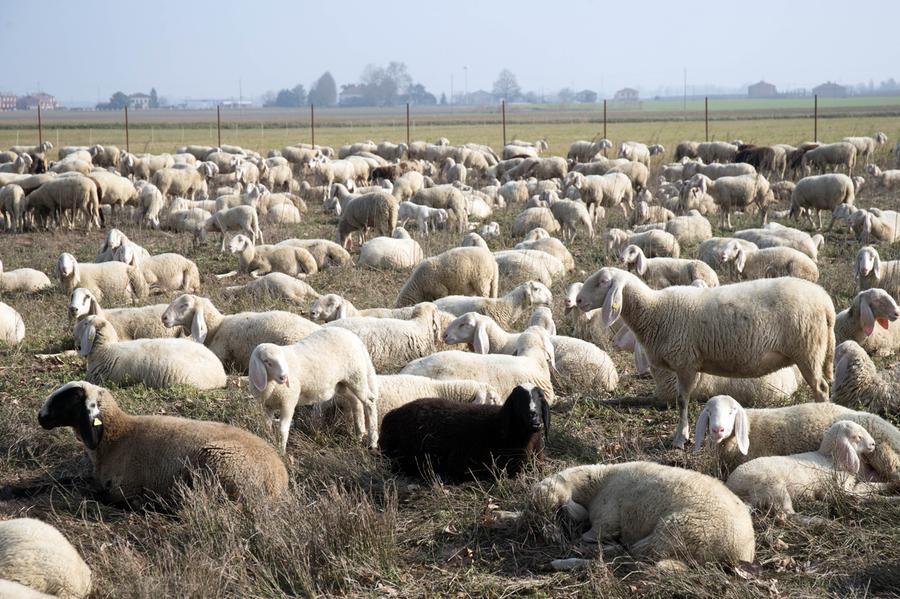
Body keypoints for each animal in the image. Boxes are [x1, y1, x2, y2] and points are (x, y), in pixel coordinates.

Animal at [38, 381, 287, 502]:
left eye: (70, 398)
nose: (40, 417)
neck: (117, 437)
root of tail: (279, 480)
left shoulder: (124, 488)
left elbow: (97, 494)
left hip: (219, 464)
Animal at [248, 328, 379, 451]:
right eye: (267, 362)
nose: (284, 377)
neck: (271, 385)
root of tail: (356, 338)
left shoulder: (288, 402)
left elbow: (282, 429)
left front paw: (281, 451)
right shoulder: (268, 406)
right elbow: (267, 426)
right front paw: (267, 442)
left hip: (356, 376)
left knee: (369, 401)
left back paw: (372, 441)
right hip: (341, 384)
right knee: (356, 402)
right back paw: (359, 434)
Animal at [530, 461, 755, 568]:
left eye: (554, 510)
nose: (547, 537)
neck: (598, 482)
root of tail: (742, 552)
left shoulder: (607, 516)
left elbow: (597, 532)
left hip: (682, 529)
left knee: (639, 552)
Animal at [576, 268, 835, 448]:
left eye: (603, 282)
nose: (578, 300)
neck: (655, 310)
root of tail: (826, 302)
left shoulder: (685, 362)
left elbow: (682, 401)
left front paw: (680, 438)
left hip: (808, 349)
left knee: (821, 388)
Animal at [725, 420, 879, 516]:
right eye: (857, 437)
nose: (873, 444)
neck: (831, 459)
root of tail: (739, 491)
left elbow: (866, 486)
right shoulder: (838, 489)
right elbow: (863, 491)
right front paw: (882, 496)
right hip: (773, 487)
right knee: (787, 514)